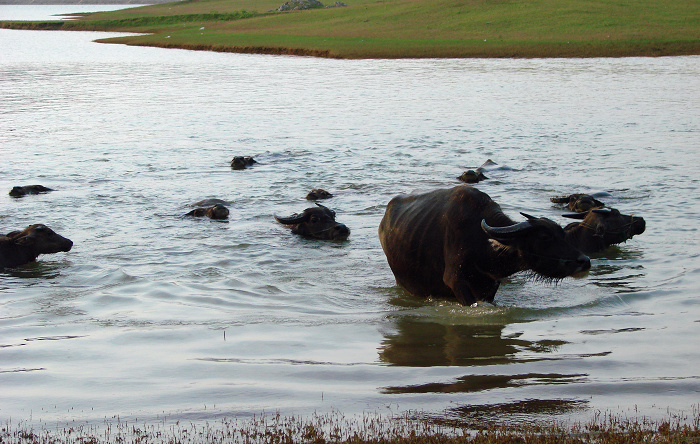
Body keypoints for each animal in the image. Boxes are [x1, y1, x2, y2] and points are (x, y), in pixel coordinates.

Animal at [378, 185, 592, 306]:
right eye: (545, 237)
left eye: (562, 234)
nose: (585, 261)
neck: (482, 244)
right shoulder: (456, 281)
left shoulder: (490, 286)